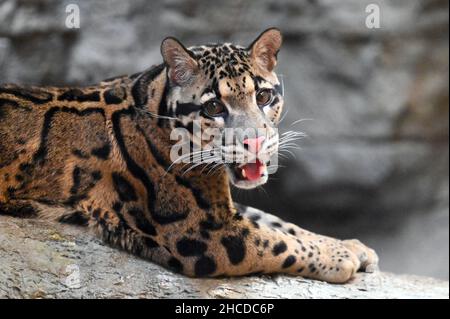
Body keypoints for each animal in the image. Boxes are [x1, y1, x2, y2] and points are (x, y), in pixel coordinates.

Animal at [0, 29, 378, 284]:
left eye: (264, 96)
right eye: (213, 107)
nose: (255, 142)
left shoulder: (217, 207)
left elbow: (277, 221)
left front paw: (350, 245)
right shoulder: (200, 230)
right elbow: (278, 243)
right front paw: (339, 255)